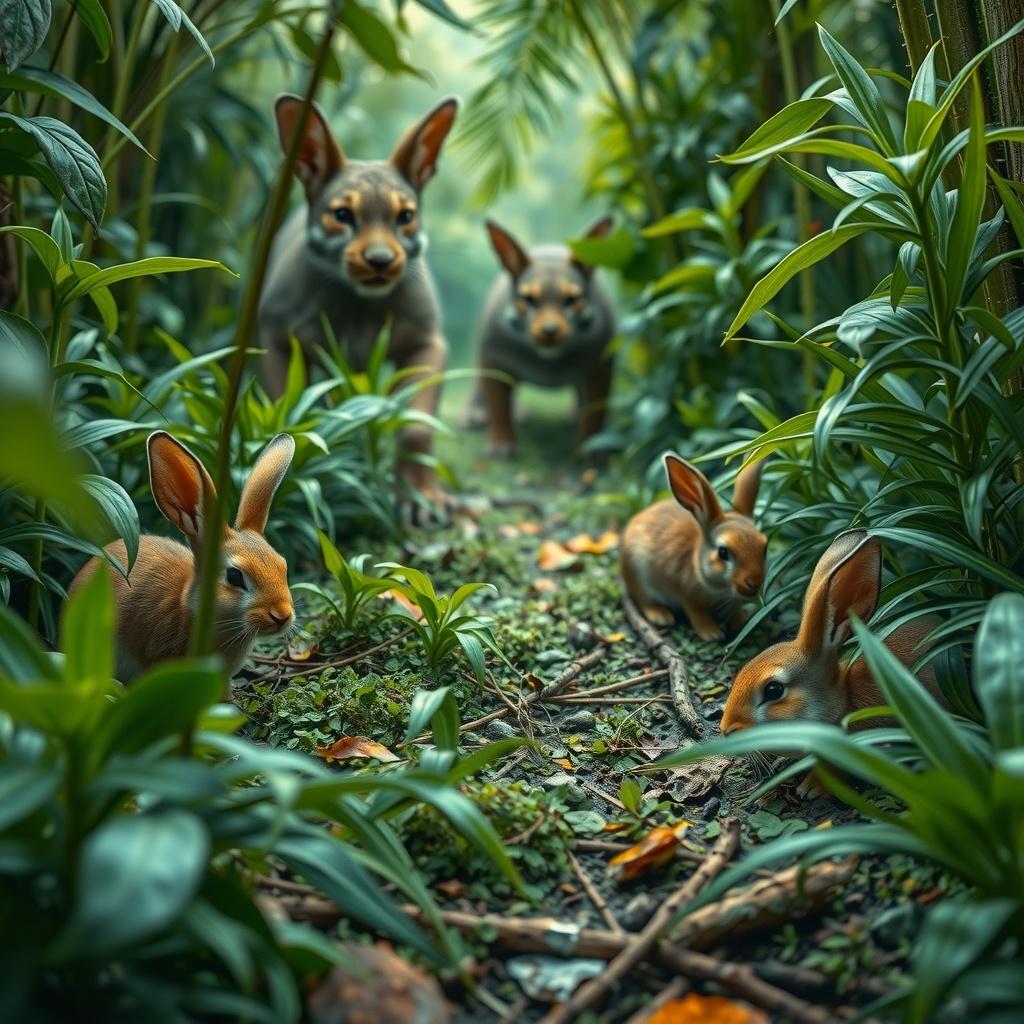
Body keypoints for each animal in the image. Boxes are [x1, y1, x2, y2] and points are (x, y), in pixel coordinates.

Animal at [620, 453, 766, 640]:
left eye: (764, 547)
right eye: (723, 552)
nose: (754, 582)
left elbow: (734, 611)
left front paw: (741, 623)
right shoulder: (686, 593)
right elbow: (696, 613)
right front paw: (711, 633)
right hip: (638, 572)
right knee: (642, 599)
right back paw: (661, 616)